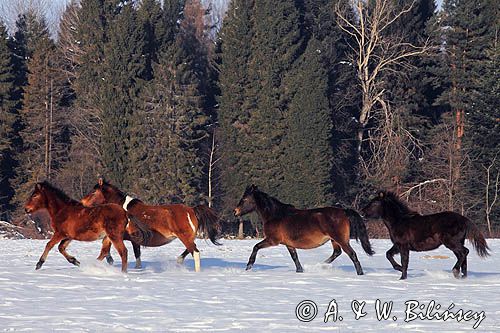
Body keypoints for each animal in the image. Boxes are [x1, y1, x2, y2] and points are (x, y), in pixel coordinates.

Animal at [81, 178, 222, 272]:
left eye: (93, 192)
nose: (82, 203)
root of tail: (191, 210)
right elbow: (135, 253)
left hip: (184, 237)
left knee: (195, 252)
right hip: (188, 237)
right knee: (192, 249)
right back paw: (179, 260)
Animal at [232, 184, 374, 272]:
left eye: (244, 199)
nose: (235, 212)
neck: (275, 215)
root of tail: (344, 211)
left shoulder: (273, 240)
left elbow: (255, 247)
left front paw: (248, 266)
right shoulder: (289, 244)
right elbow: (295, 258)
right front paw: (300, 270)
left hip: (341, 239)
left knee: (352, 255)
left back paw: (360, 273)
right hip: (334, 240)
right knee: (336, 253)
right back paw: (321, 265)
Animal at [362, 191, 490, 278]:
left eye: (375, 203)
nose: (362, 212)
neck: (399, 221)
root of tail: (464, 219)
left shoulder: (403, 245)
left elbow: (404, 261)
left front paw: (403, 277)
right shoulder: (398, 245)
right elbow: (388, 254)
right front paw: (398, 269)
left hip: (451, 242)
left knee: (464, 252)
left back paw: (455, 271)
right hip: (457, 243)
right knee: (462, 257)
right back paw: (462, 277)